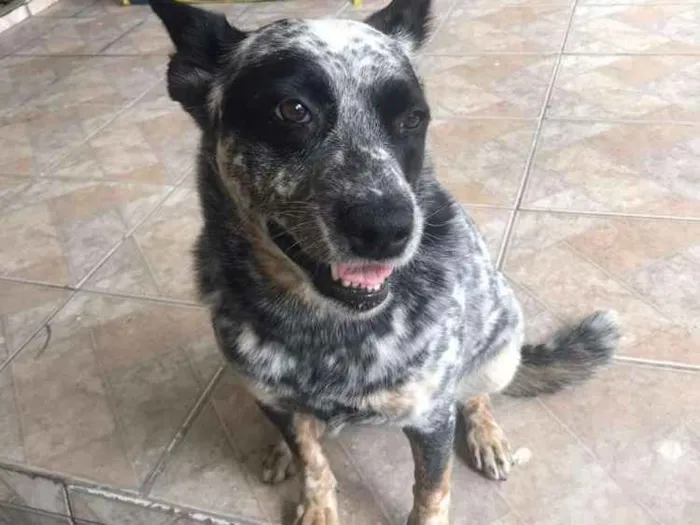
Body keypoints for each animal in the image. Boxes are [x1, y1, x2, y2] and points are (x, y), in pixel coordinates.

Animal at [152, 2, 616, 520]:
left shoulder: (430, 416)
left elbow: (431, 490)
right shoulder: (275, 401)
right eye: (292, 109)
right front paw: (315, 503)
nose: (388, 228)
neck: (325, 330)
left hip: (499, 347)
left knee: (475, 392)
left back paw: (486, 434)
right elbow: (312, 460)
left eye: (413, 118)